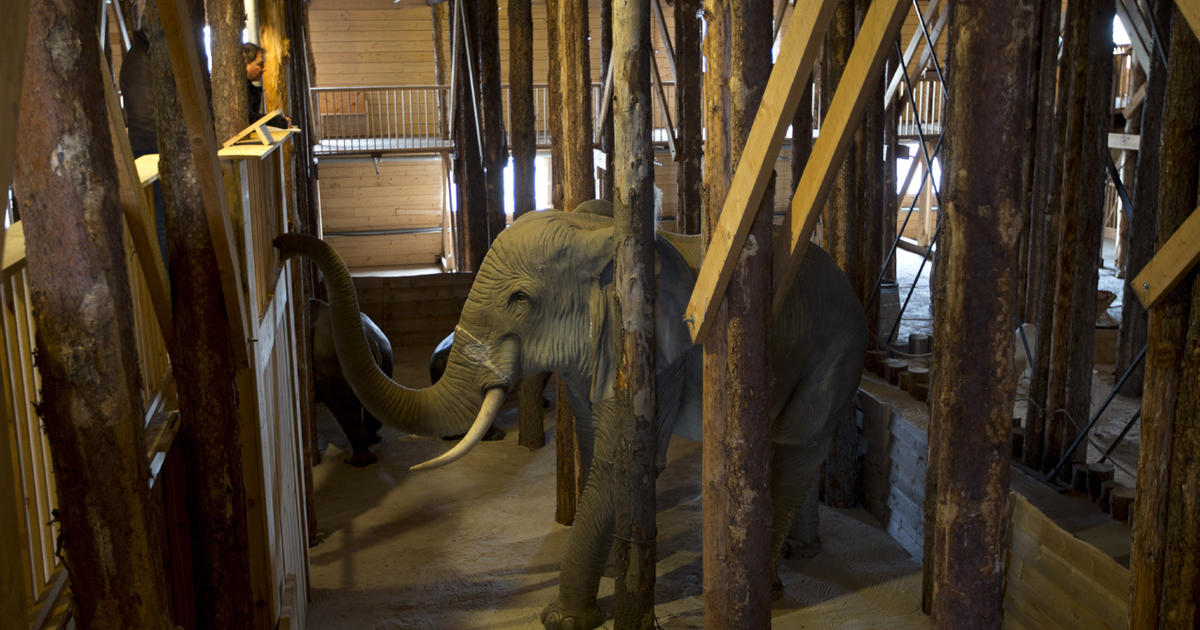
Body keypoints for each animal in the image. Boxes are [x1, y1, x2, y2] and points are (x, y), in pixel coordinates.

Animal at [309, 297, 393, 463]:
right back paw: (372, 441)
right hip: (384, 346)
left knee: (343, 408)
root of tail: (368, 339)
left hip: (333, 359)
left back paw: (356, 462)